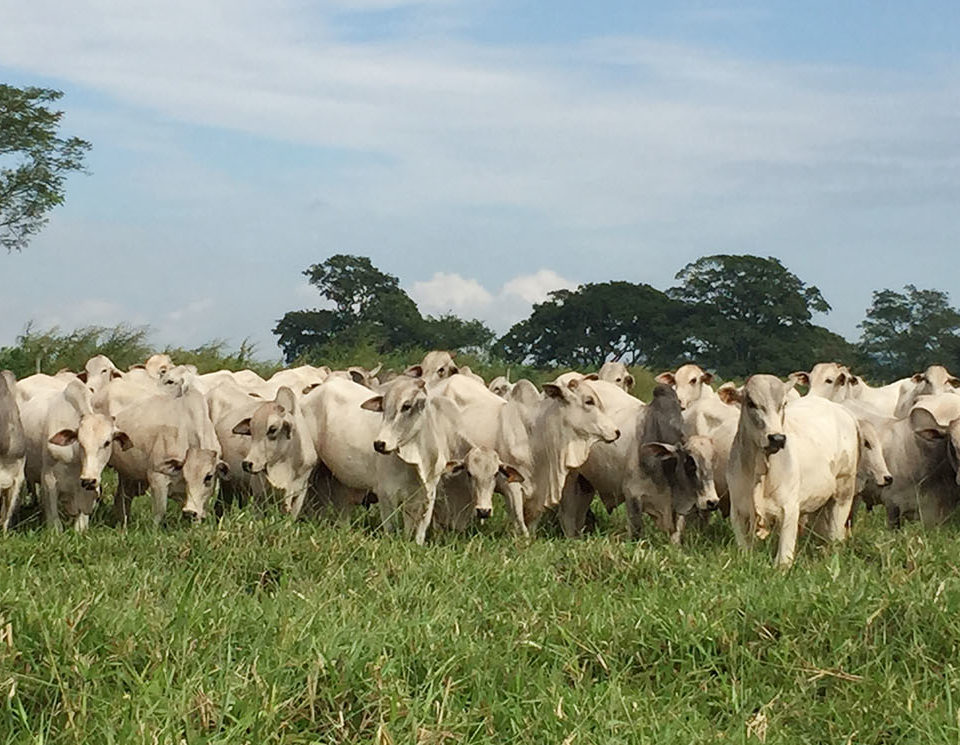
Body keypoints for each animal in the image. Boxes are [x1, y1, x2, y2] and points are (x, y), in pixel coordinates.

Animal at [732, 374, 860, 568]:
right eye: (751, 403)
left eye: (783, 404)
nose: (777, 438)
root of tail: (842, 411)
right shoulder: (737, 509)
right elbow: (744, 548)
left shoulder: (789, 508)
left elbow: (784, 553)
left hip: (844, 488)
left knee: (836, 530)